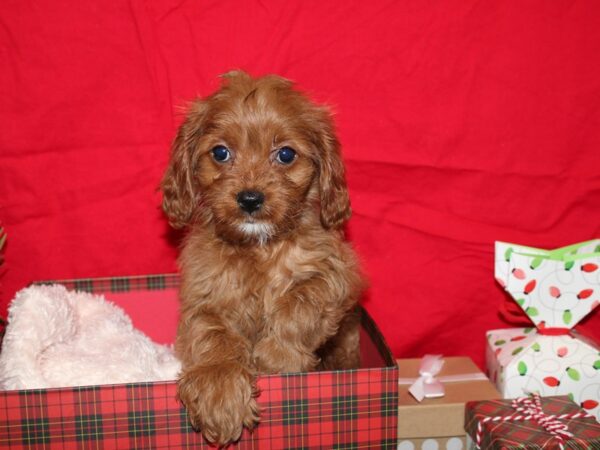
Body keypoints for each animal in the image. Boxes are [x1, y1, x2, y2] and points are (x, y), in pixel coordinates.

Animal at [162, 71, 364, 446]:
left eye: (285, 154)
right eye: (221, 152)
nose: (250, 199)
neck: (258, 247)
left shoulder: (337, 274)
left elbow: (301, 301)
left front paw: (277, 358)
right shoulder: (203, 298)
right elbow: (213, 333)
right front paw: (220, 387)